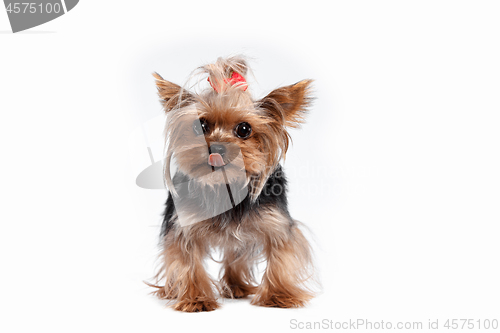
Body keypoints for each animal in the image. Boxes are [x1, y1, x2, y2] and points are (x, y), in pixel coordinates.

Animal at [150, 55, 316, 310]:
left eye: (244, 129)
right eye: (201, 125)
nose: (217, 147)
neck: (224, 185)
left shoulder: (275, 222)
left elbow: (281, 254)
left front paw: (278, 295)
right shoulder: (183, 226)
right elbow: (186, 258)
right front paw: (196, 299)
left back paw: (237, 287)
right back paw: (172, 290)